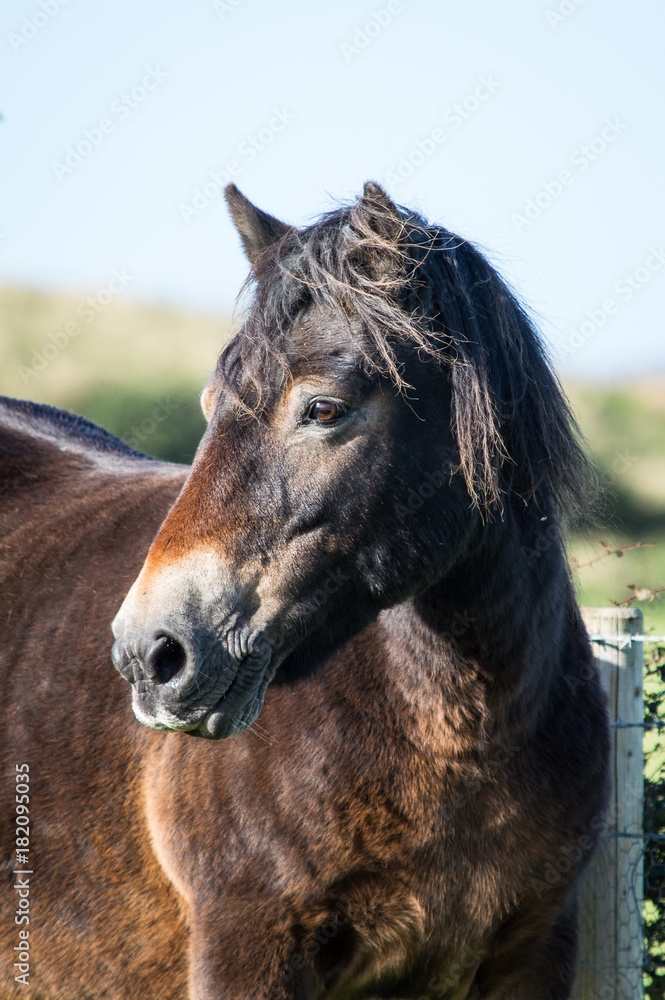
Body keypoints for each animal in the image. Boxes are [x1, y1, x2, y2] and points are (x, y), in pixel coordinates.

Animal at [1, 182, 610, 999]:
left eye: (322, 408)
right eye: (208, 405)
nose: (150, 654)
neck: (463, 741)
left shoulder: (536, 950)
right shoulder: (247, 946)